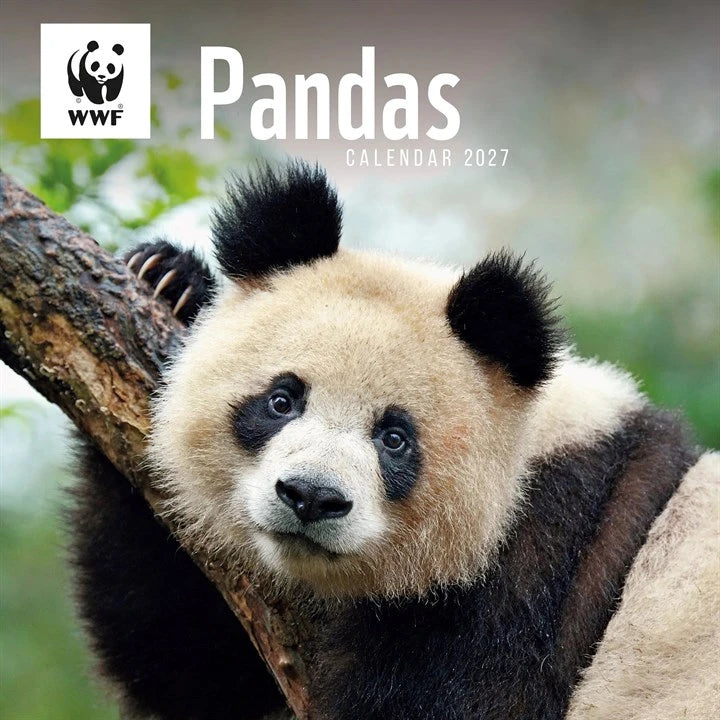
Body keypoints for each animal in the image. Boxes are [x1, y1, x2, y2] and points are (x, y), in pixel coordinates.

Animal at [69, 161, 719, 720]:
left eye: (395, 438)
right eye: (282, 401)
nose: (310, 498)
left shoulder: (540, 573)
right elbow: (190, 665)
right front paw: (169, 277)